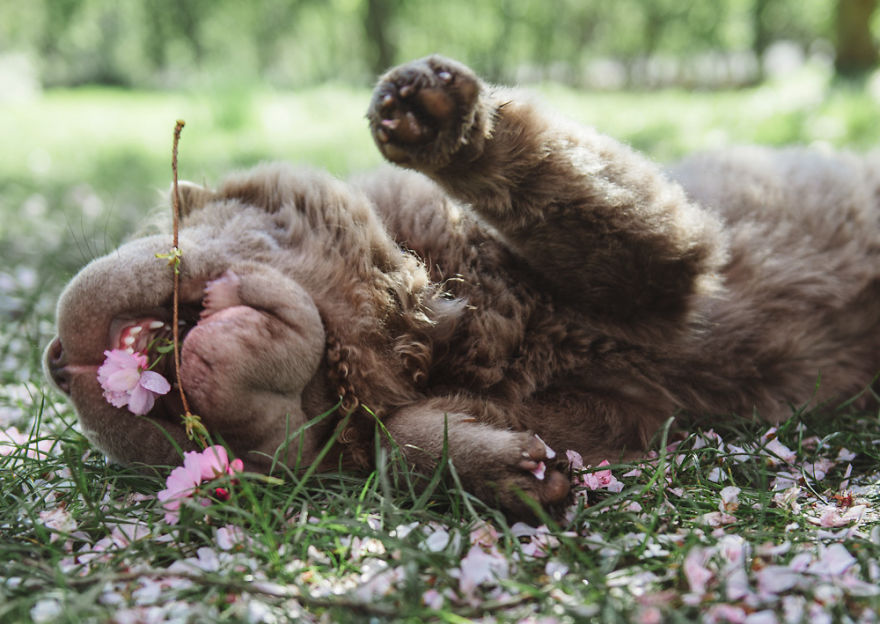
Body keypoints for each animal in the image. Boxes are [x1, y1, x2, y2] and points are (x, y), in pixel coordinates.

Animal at [45, 55, 880, 519]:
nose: (54, 361)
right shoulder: (622, 413)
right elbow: (397, 446)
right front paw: (511, 472)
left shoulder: (671, 264)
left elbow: (560, 189)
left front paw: (440, 120)